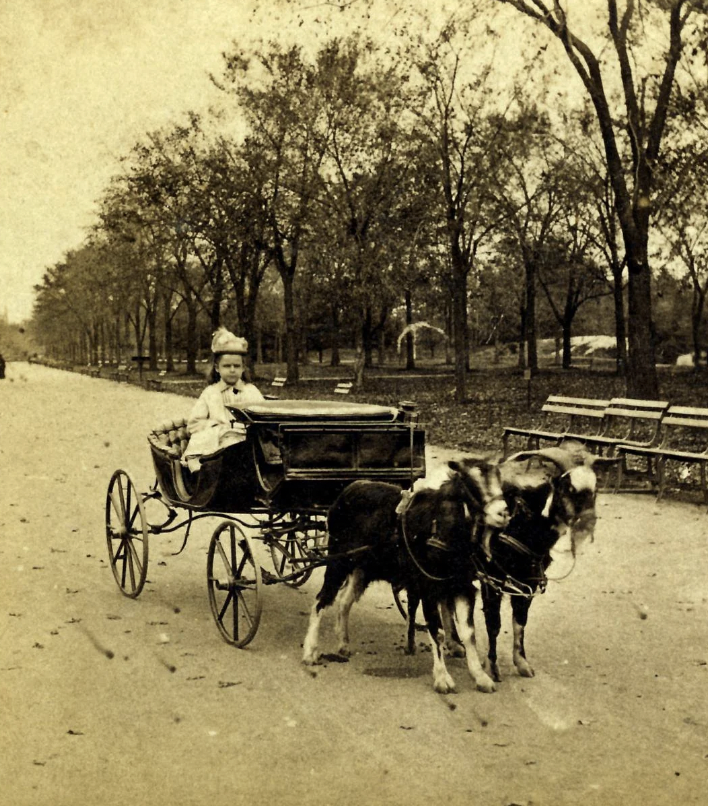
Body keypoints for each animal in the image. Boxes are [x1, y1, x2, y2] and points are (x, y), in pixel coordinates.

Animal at [302, 458, 512, 696]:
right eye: (473, 484)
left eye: (499, 480)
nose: (503, 513)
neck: (439, 526)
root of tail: (348, 490)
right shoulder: (429, 587)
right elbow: (436, 631)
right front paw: (443, 678)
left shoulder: (462, 586)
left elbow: (469, 633)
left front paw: (480, 676)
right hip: (338, 561)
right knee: (321, 600)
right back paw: (310, 651)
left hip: (362, 568)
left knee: (344, 602)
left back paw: (343, 644)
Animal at [482, 442, 620, 680]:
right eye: (568, 488)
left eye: (595, 489)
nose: (587, 522)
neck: (520, 523)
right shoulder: (492, 580)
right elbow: (494, 624)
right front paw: (492, 668)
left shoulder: (526, 582)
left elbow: (520, 623)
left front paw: (522, 663)